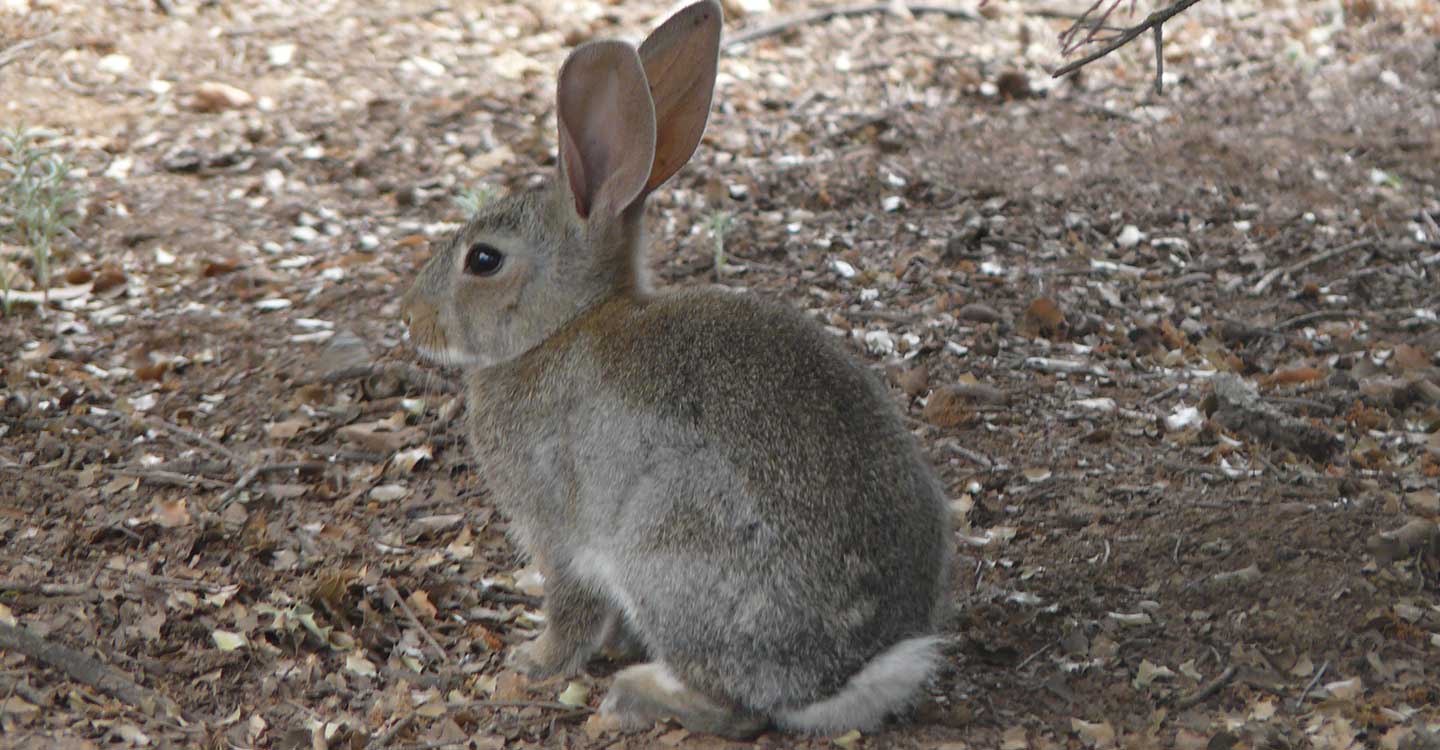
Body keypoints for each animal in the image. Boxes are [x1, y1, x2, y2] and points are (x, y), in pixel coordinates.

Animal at [400, 0, 950, 737]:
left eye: (483, 260)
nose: (411, 318)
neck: (561, 327)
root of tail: (847, 675)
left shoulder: (557, 530)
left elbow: (571, 606)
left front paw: (533, 660)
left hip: (665, 554)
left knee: (734, 708)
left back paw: (637, 693)